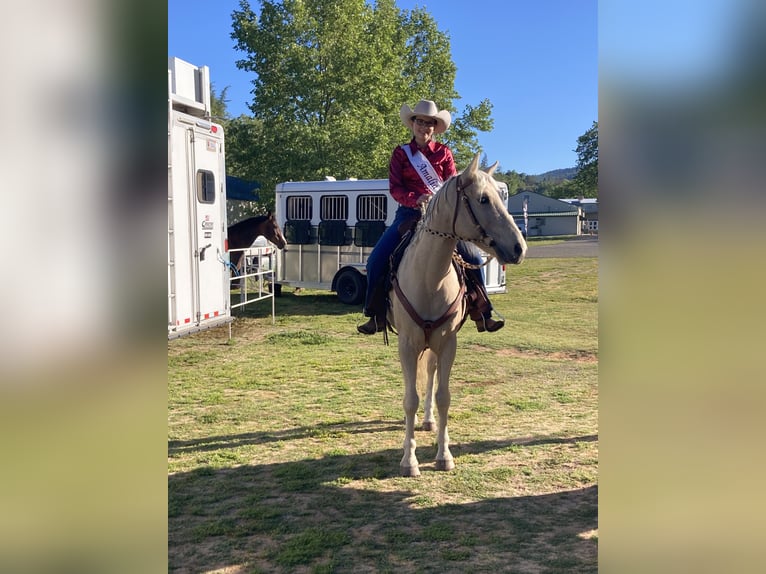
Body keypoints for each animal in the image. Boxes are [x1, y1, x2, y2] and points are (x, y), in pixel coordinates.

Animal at [389, 153, 527, 477]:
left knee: (430, 375)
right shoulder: (407, 344)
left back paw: (429, 421)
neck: (429, 278)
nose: (520, 248)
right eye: (483, 199)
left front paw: (444, 455)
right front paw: (409, 460)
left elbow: (443, 397)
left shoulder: (448, 343)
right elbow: (409, 399)